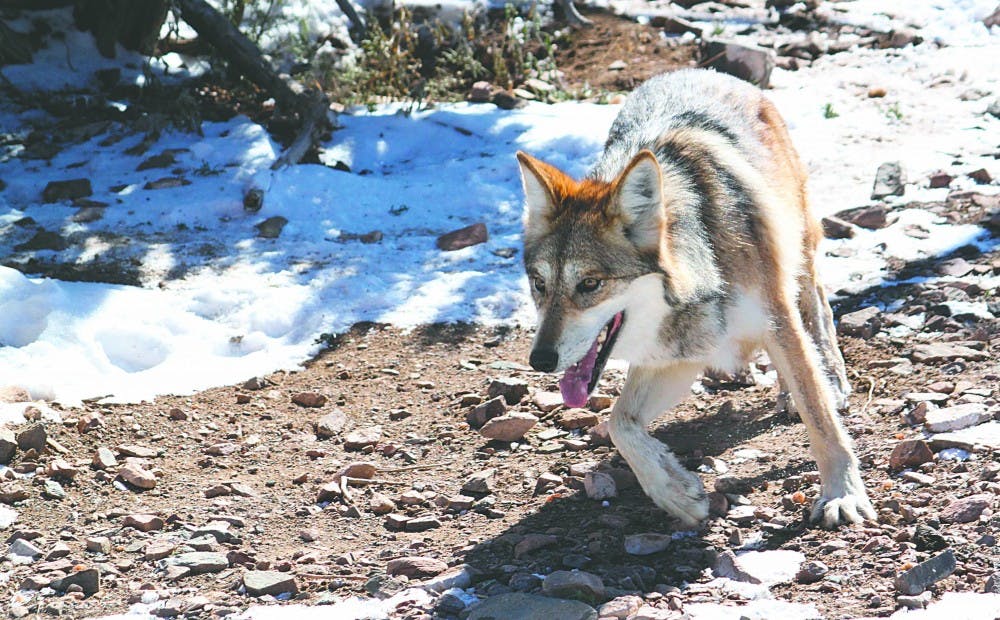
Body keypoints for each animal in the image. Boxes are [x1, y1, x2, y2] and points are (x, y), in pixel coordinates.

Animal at [516, 69, 875, 528]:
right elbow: (619, 423)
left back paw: (829, 378)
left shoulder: (775, 318)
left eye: (591, 284)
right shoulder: (682, 351)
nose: (540, 360)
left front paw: (841, 494)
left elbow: (821, 418)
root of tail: (701, 71)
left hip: (797, 247)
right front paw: (676, 491)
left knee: (816, 306)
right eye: (539, 284)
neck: (707, 261)